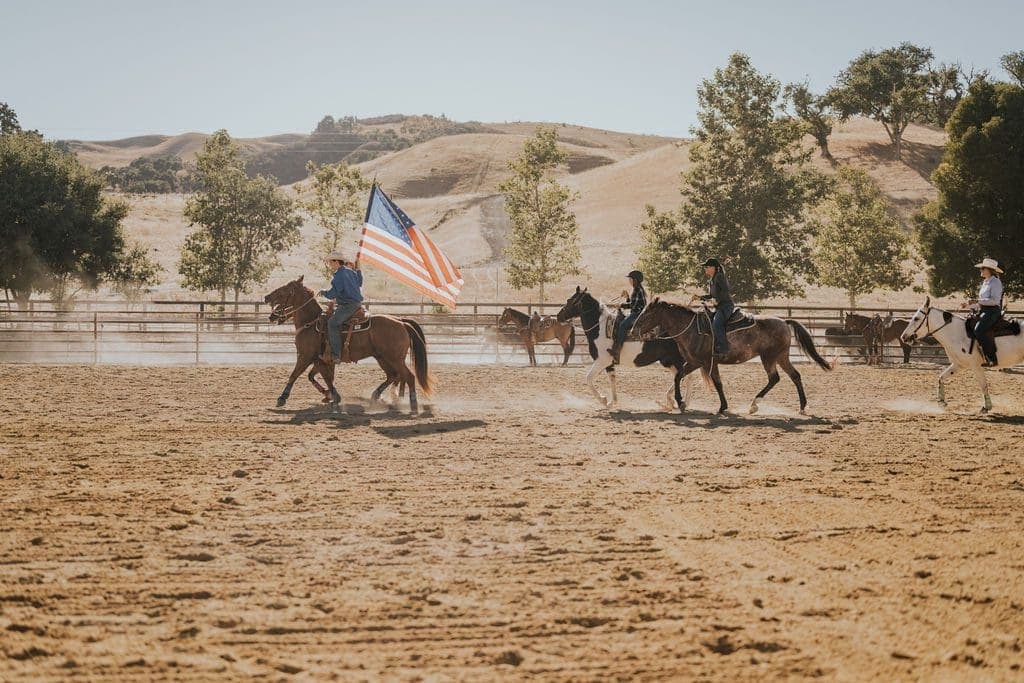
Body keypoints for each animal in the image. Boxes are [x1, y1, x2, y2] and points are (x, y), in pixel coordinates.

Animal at [264, 276, 432, 411]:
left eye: (284, 289)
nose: (266, 297)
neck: (311, 323)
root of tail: (401, 322)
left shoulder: (305, 356)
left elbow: (295, 375)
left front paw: (282, 398)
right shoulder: (321, 360)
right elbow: (320, 378)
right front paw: (330, 396)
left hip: (394, 358)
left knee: (408, 376)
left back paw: (412, 404)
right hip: (383, 358)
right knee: (393, 375)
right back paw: (377, 396)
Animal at [630, 301, 831, 417]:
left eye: (646, 313)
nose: (632, 330)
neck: (691, 329)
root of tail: (783, 321)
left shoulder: (706, 362)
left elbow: (717, 383)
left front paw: (722, 407)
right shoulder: (694, 362)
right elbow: (678, 376)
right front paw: (681, 403)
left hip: (769, 358)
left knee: (775, 378)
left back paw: (754, 405)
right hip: (781, 357)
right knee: (795, 376)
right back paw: (802, 407)